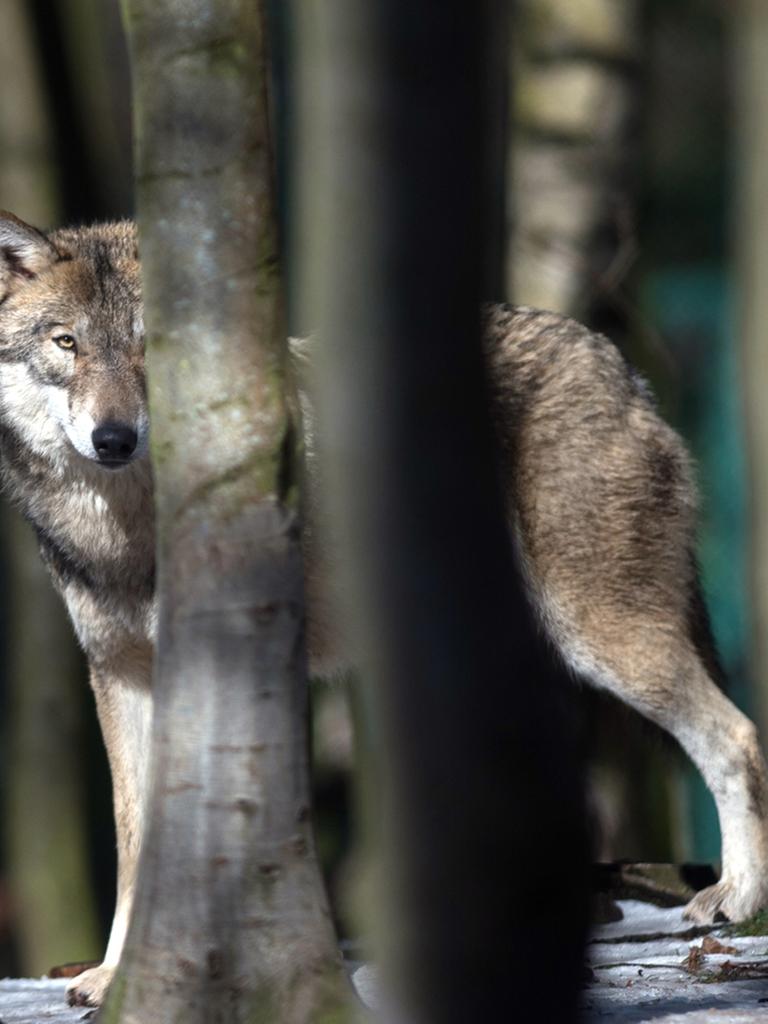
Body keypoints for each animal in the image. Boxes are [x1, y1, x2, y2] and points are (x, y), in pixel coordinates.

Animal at [0, 207, 765, 1007]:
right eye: (67, 343)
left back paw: (736, 897)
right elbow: (134, 838)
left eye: (153, 342)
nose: (113, 438)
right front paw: (121, 976)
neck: (130, 528)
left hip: (603, 640)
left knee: (736, 736)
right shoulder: (121, 675)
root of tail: (616, 363)